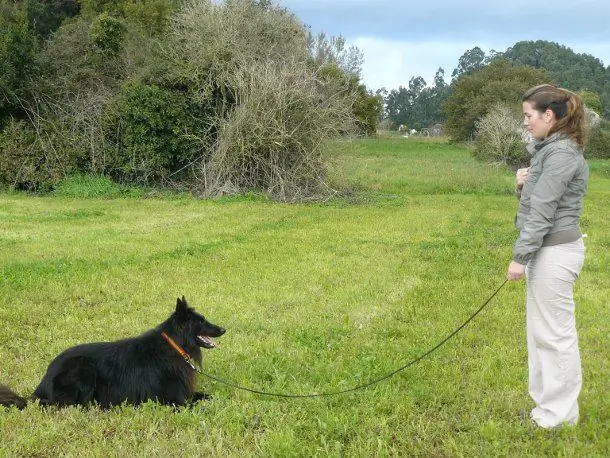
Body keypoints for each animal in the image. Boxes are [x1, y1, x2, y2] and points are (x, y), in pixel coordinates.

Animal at [0, 296, 223, 410]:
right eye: (201, 321)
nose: (224, 329)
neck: (173, 346)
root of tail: (42, 385)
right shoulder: (175, 401)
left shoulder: (186, 393)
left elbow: (209, 396)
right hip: (83, 369)